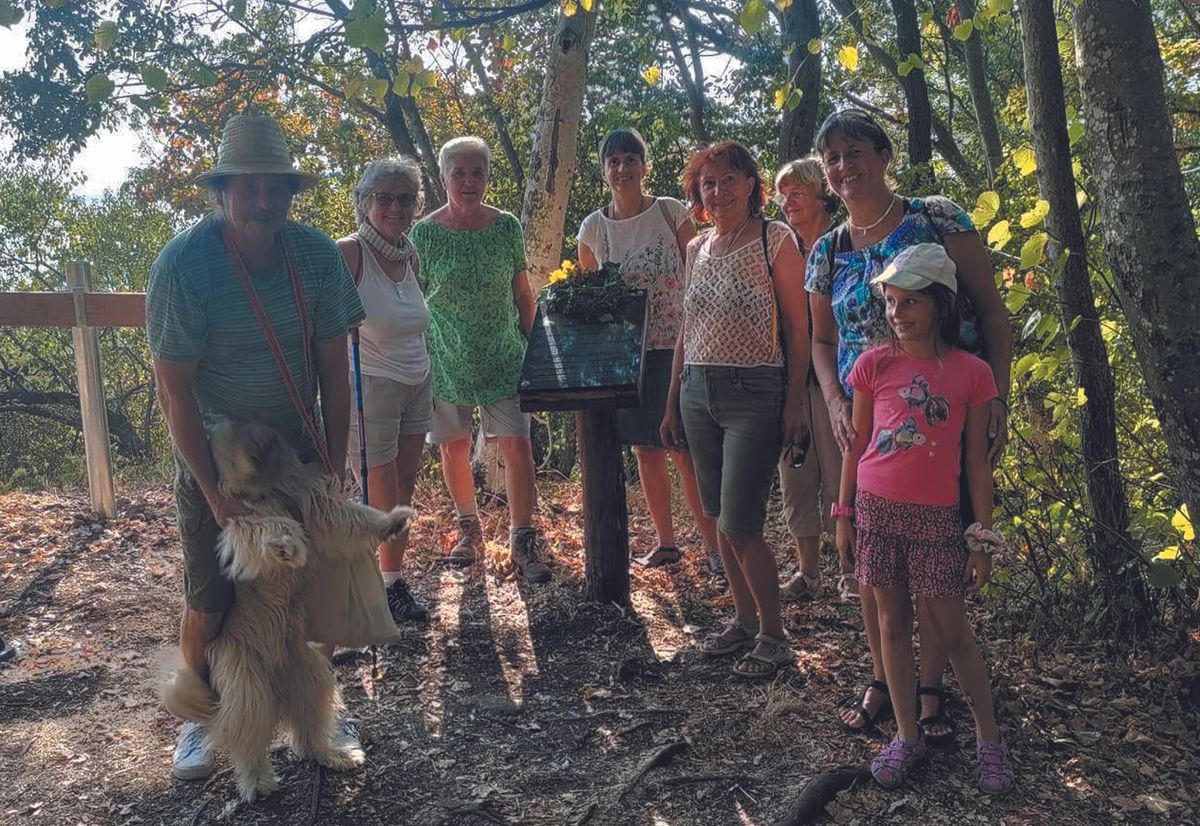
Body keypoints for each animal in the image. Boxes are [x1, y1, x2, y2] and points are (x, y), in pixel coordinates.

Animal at [163, 420, 412, 801]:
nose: (259, 433)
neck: (269, 483)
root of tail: (277, 686)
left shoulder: (319, 504)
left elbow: (352, 517)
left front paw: (393, 520)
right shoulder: (241, 520)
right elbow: (268, 526)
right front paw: (288, 546)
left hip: (311, 676)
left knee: (308, 733)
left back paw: (334, 755)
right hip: (246, 684)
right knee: (248, 737)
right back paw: (257, 781)